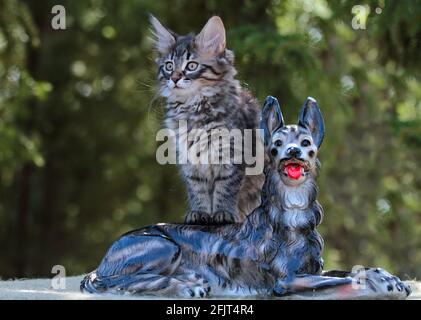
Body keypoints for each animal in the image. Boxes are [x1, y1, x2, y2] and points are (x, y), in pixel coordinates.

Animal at [151, 15, 262, 225]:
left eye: (191, 66)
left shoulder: (231, 156)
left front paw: (223, 213)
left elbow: (225, 189)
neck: (192, 108)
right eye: (169, 66)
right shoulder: (190, 161)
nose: (175, 78)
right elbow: (198, 191)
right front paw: (199, 213)